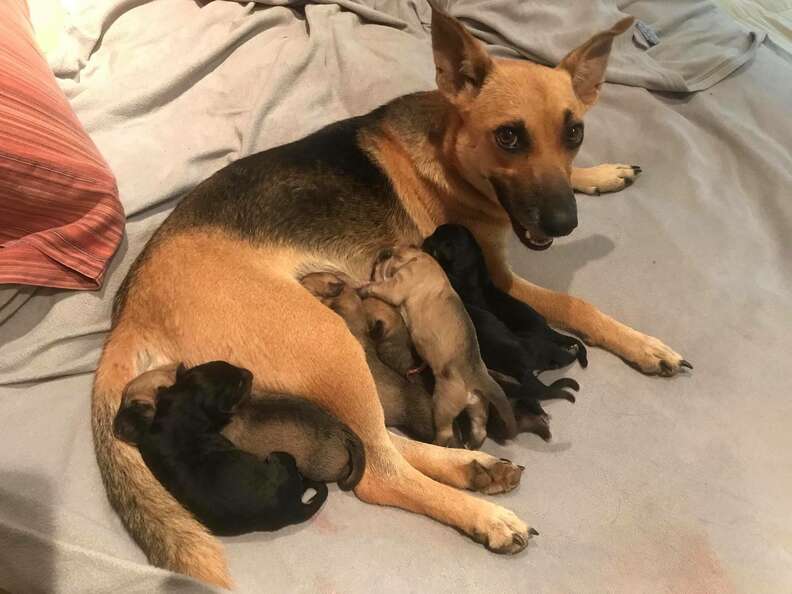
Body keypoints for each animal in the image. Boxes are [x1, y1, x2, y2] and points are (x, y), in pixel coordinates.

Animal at [138, 358, 326, 536]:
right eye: (239, 385)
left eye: (229, 365)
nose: (250, 373)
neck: (180, 412)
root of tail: (292, 509)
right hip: (280, 455)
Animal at [360, 246, 520, 448]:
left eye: (386, 258)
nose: (380, 256)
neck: (418, 258)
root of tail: (477, 376)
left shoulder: (396, 285)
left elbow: (378, 286)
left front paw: (364, 286)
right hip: (477, 407)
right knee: (480, 430)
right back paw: (471, 445)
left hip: (443, 403)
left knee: (445, 433)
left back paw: (435, 444)